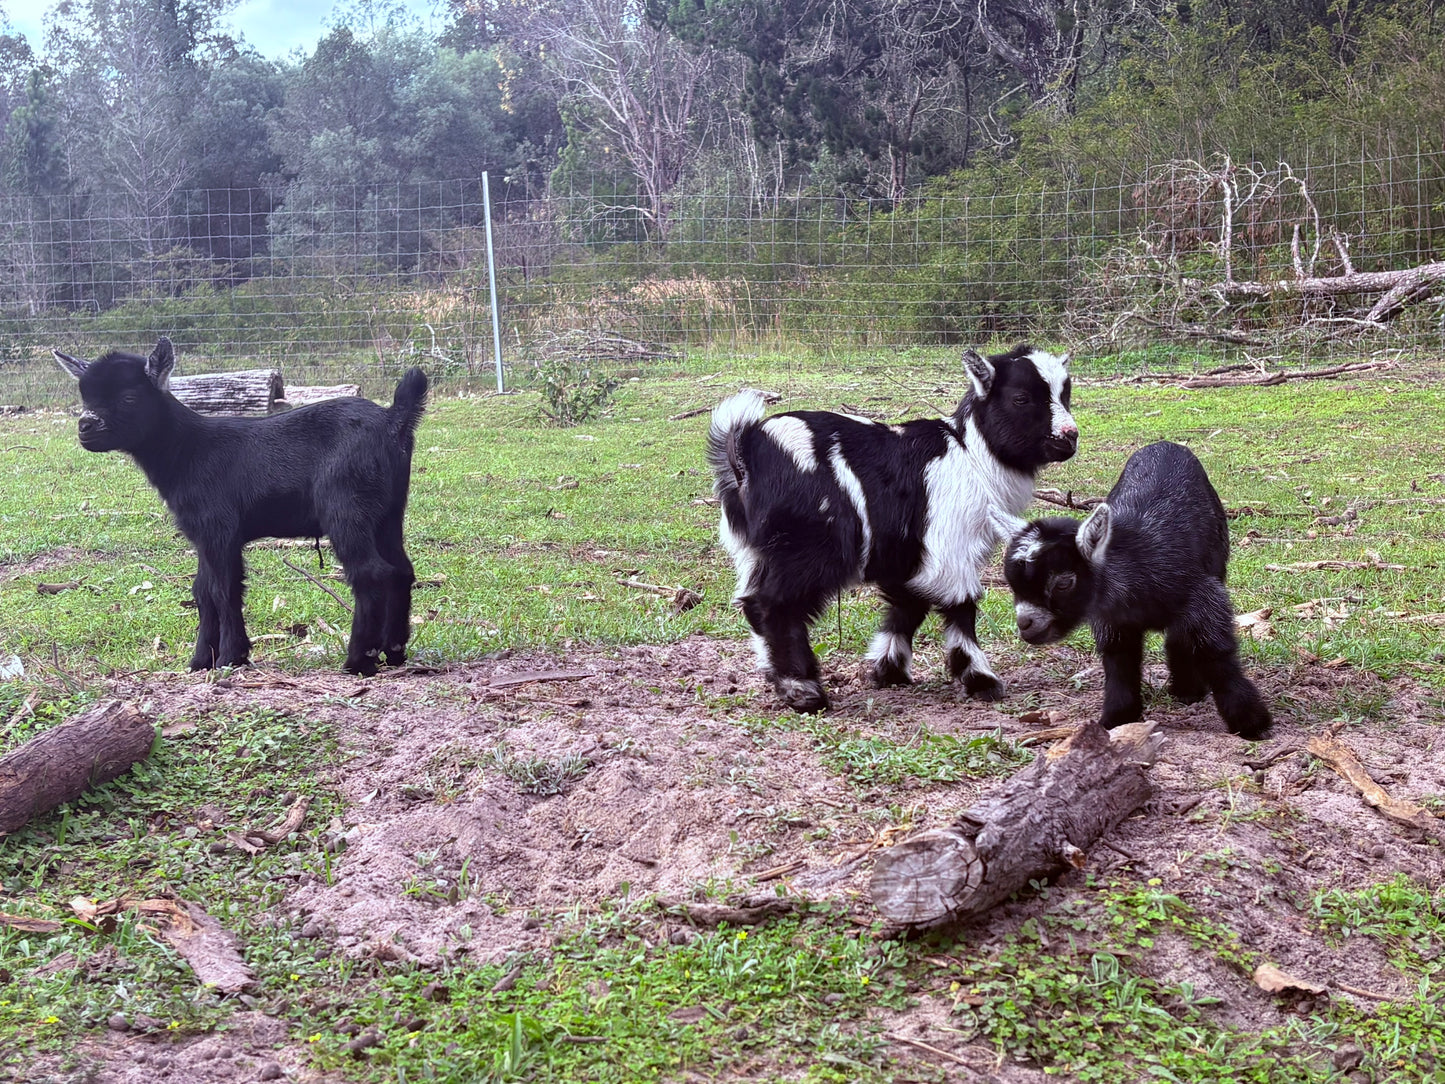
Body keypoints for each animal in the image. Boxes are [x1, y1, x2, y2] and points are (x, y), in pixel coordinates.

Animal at [54, 337, 428, 676]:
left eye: (129, 398)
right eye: (85, 397)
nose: (85, 426)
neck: (188, 450)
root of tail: (393, 420)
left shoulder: (219, 528)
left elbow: (223, 589)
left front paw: (231, 657)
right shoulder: (205, 534)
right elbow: (202, 590)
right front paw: (201, 660)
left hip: (346, 506)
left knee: (371, 572)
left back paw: (359, 661)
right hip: (389, 511)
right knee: (401, 569)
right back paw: (394, 651)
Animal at [708, 344, 1078, 712]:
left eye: (1066, 394)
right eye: (1021, 398)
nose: (1070, 437)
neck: (972, 455)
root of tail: (744, 452)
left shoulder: (906, 552)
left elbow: (908, 604)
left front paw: (888, 669)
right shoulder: (949, 542)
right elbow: (961, 606)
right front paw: (980, 679)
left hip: (757, 550)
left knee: (753, 602)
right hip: (808, 545)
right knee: (775, 603)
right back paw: (803, 691)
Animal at [1003, 440, 1271, 738]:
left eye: (1063, 583)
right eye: (1012, 584)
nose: (1025, 624)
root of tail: (1165, 443)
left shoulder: (1203, 597)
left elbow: (1215, 651)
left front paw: (1252, 723)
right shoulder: (1113, 622)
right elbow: (1120, 661)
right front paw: (1118, 717)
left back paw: (1187, 689)